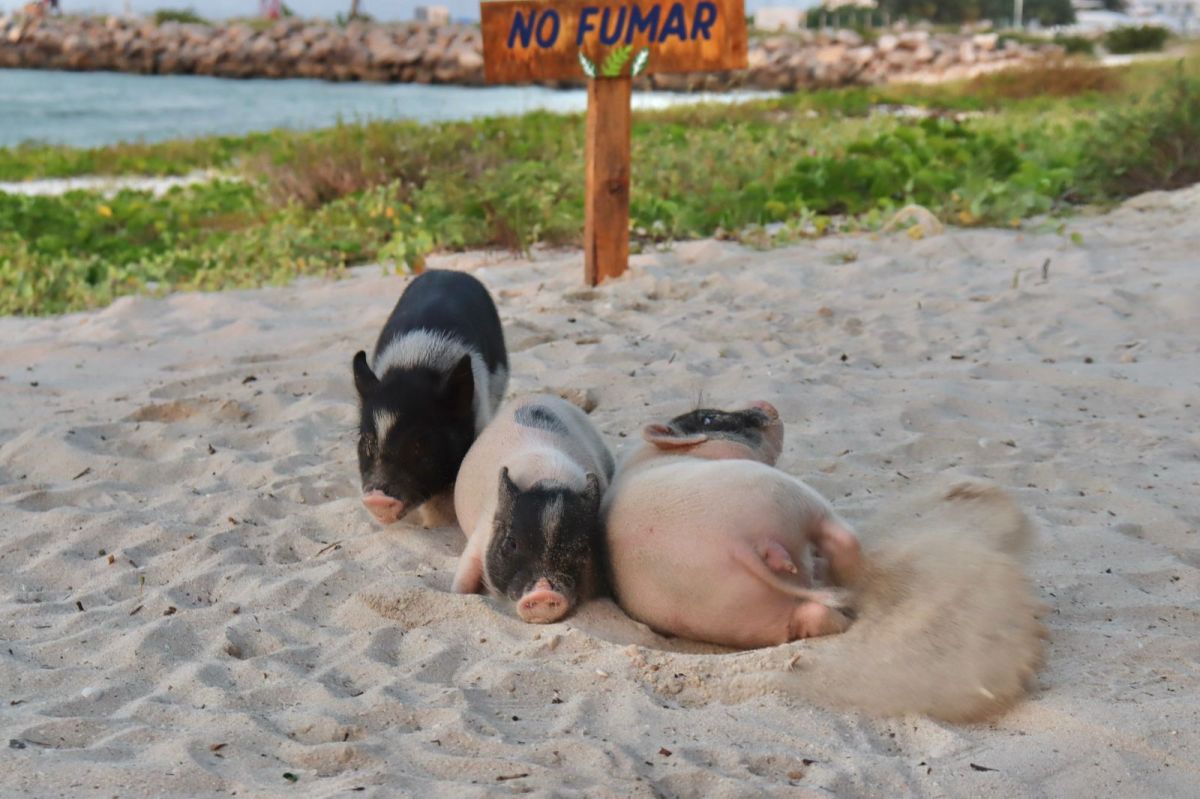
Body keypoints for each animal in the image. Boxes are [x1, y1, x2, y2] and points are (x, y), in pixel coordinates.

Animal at [451, 393, 614, 623]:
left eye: (582, 548)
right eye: (511, 543)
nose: (543, 593)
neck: (549, 478)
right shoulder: (480, 535)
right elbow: (464, 578)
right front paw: (455, 593)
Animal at [604, 400, 859, 652]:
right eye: (708, 419)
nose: (764, 403)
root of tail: (732, 542)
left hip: (740, 615)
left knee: (813, 614)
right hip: (787, 494)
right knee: (843, 539)